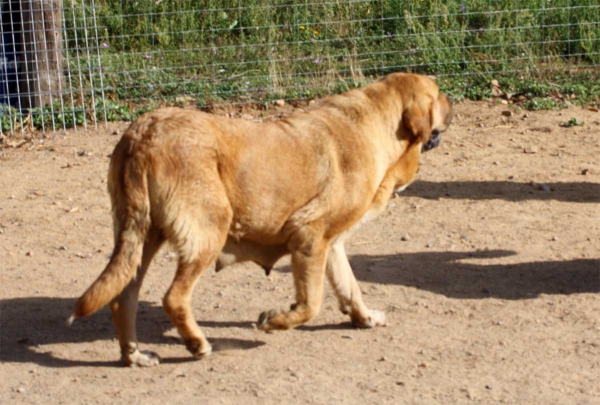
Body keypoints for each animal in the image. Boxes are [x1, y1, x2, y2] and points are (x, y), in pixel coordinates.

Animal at [69, 72, 454, 366]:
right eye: (437, 94)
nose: (451, 101)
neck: (378, 123)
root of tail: (143, 131)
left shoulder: (331, 245)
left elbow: (350, 287)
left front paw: (365, 318)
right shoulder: (309, 236)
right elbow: (311, 304)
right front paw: (274, 321)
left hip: (141, 239)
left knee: (122, 298)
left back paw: (134, 356)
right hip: (209, 231)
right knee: (173, 298)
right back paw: (197, 344)